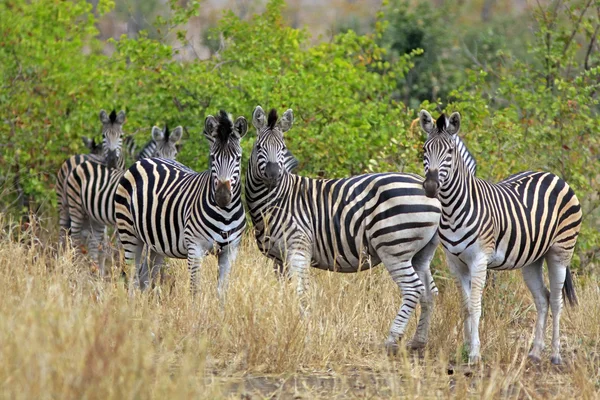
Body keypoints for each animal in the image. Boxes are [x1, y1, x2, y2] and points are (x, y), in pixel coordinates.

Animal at [65, 125, 182, 276]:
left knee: (92, 241)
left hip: (93, 216)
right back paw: (78, 268)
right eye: (157, 152)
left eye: (175, 154)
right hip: (76, 206)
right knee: (76, 238)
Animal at [113, 110, 247, 296]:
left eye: (238, 158)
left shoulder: (230, 251)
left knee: (147, 277)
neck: (225, 213)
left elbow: (221, 292)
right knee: (132, 277)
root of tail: (144, 161)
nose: (222, 196)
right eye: (212, 157)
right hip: (129, 232)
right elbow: (195, 290)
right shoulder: (195, 249)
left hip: (156, 244)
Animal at [246, 106, 442, 354]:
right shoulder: (278, 259)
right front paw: (284, 320)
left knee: (413, 289)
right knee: (429, 292)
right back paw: (418, 342)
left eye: (282, 149)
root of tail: (427, 188)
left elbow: (301, 292)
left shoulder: (298, 247)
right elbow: (285, 292)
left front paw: (305, 331)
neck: (276, 199)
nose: (273, 176)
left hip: (394, 247)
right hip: (421, 252)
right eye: (259, 148)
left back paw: (391, 340)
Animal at [418, 110, 580, 366]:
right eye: (425, 149)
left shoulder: (479, 259)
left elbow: (476, 306)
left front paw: (474, 354)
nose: (431, 187)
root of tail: (552, 175)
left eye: (450, 152)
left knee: (556, 300)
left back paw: (555, 355)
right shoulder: (455, 263)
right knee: (543, 299)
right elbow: (465, 307)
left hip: (560, 252)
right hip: (532, 258)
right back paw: (535, 353)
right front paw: (464, 349)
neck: (453, 209)